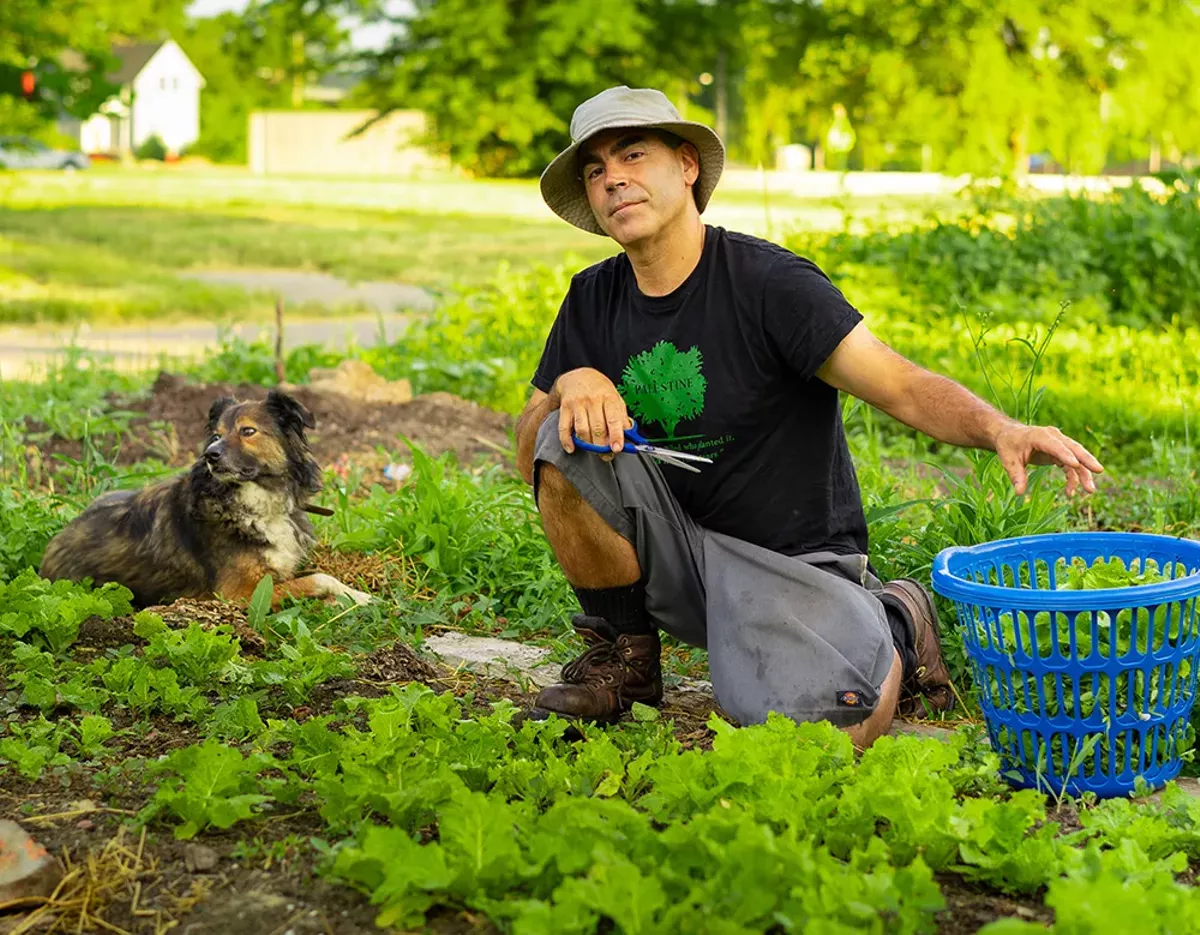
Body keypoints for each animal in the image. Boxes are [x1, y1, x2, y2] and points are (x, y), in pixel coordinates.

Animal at [41, 386, 369, 607]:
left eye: (247, 431)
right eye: (216, 436)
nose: (211, 455)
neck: (255, 501)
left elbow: (322, 576)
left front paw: (356, 595)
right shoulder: (239, 595)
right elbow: (318, 578)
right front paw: (358, 597)